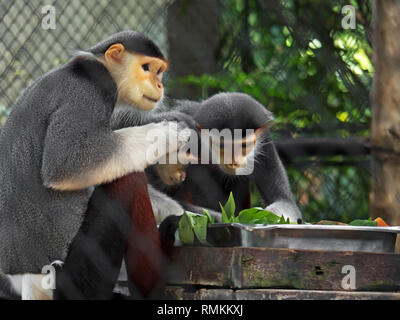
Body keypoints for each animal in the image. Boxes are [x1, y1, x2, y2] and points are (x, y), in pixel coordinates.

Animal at [0, 31, 194, 298]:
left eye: (159, 71)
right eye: (146, 68)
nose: (159, 85)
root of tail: (28, 279)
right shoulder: (94, 88)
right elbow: (66, 164)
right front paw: (166, 134)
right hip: (77, 280)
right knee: (128, 180)